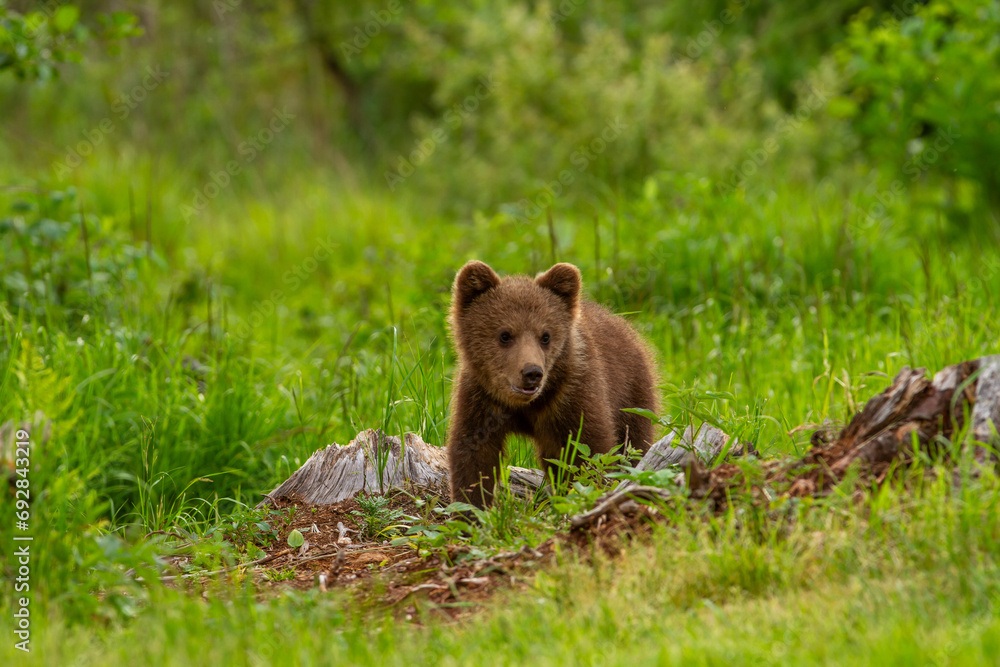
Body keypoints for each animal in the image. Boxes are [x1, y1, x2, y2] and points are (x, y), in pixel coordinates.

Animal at [446, 260, 659, 507]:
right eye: (505, 335)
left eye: (545, 336)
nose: (532, 372)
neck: (526, 405)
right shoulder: (481, 399)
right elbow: (474, 455)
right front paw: (469, 506)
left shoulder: (573, 395)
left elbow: (589, 451)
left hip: (632, 396)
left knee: (634, 445)